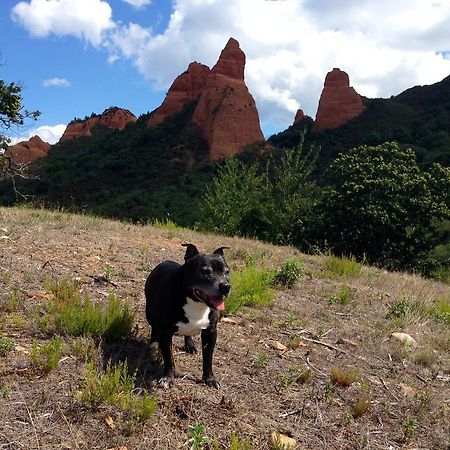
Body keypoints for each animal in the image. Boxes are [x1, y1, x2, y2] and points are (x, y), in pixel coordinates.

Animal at [145, 243, 230, 386]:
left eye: (227, 272)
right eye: (204, 271)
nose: (226, 286)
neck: (195, 302)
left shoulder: (211, 332)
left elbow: (208, 358)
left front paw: (210, 378)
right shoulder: (165, 331)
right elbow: (169, 358)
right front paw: (167, 377)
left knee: (188, 333)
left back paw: (189, 345)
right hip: (150, 314)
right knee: (154, 328)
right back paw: (153, 344)